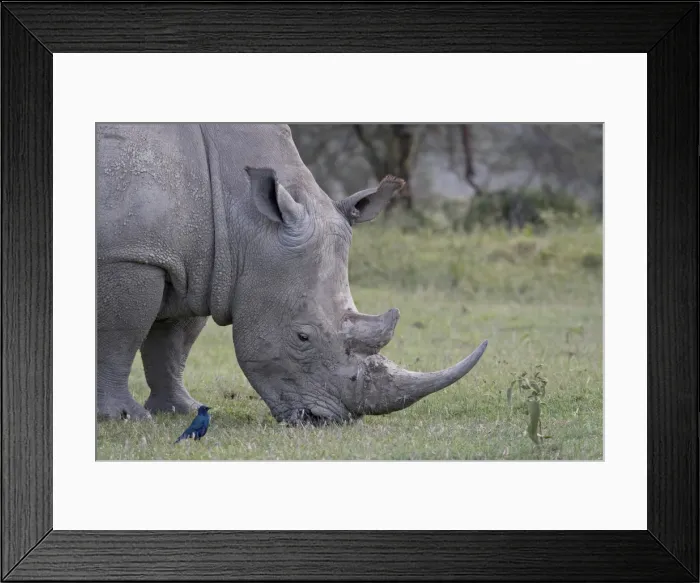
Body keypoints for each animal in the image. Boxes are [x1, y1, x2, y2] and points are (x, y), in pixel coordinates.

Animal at [96, 123, 488, 425]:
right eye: (302, 337)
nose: (325, 420)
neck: (242, 212)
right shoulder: (130, 255)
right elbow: (120, 334)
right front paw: (123, 418)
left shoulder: (196, 263)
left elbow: (174, 342)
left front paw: (182, 411)